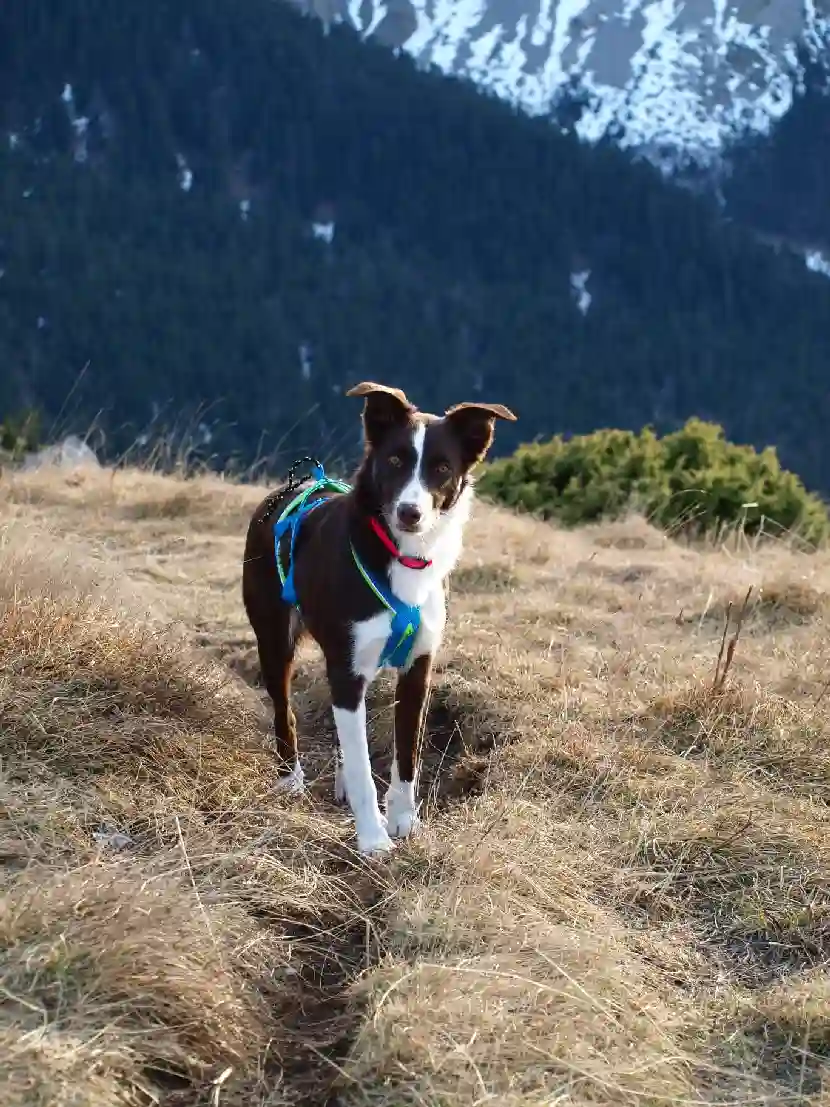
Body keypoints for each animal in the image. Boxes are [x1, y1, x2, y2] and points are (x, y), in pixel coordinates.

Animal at [240, 380, 517, 854]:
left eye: (442, 467)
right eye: (395, 460)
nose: (410, 512)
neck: (403, 557)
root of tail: (286, 491)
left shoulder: (417, 670)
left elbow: (407, 757)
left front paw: (405, 821)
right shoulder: (349, 670)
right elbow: (363, 766)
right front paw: (372, 838)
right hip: (275, 640)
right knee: (285, 712)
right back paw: (290, 778)